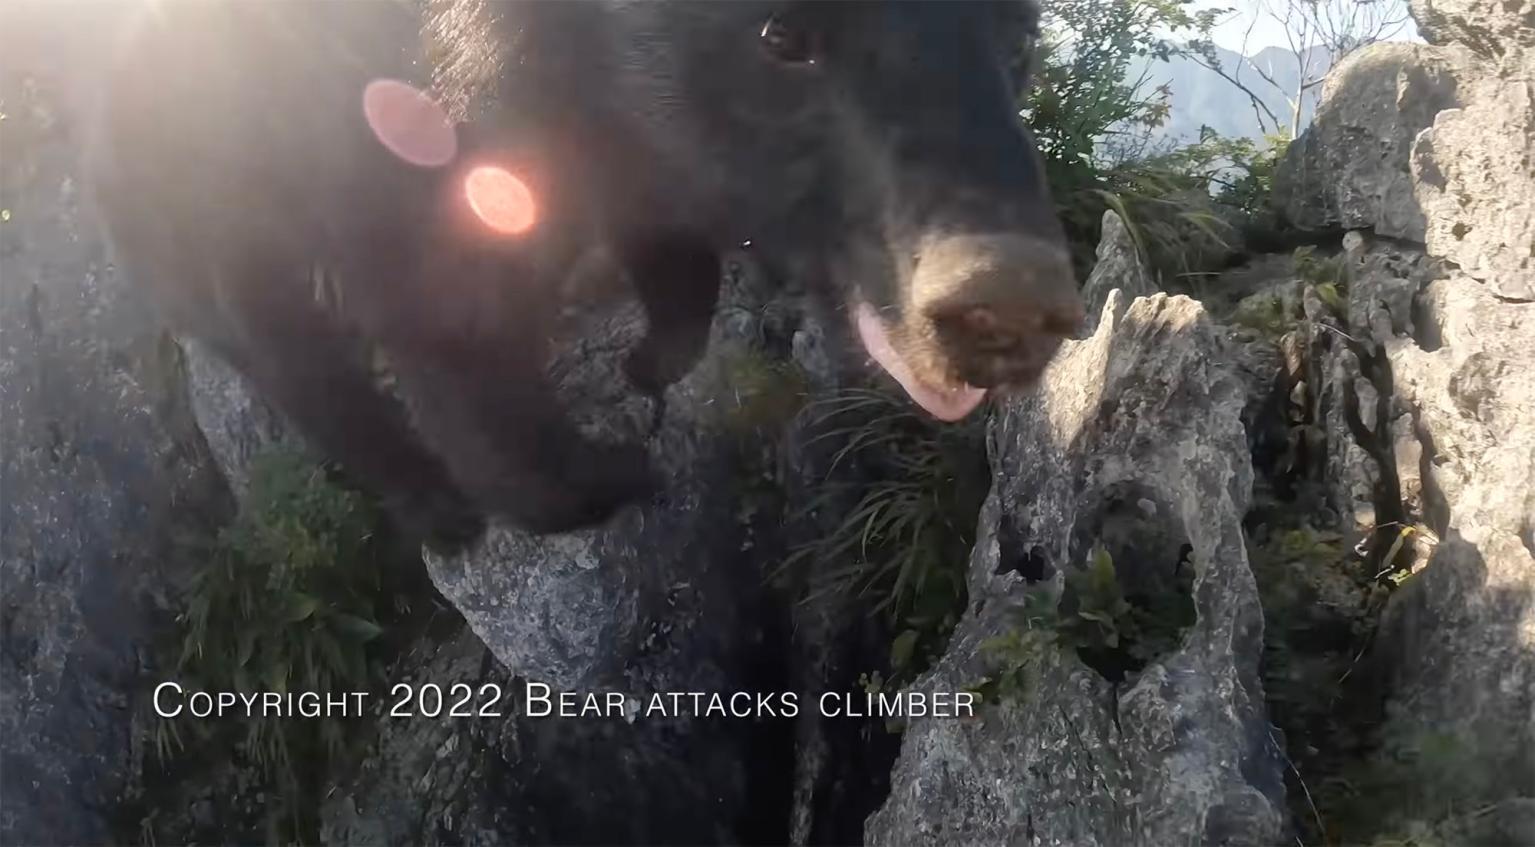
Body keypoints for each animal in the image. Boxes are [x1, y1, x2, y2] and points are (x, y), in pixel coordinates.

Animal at [85, 0, 1083, 547]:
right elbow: (456, 343)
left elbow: (667, 247)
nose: (1006, 302)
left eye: (1020, 41)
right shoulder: (403, 155)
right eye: (782, 32)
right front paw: (609, 474)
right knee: (295, 361)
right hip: (206, 209)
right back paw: (434, 504)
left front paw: (653, 358)